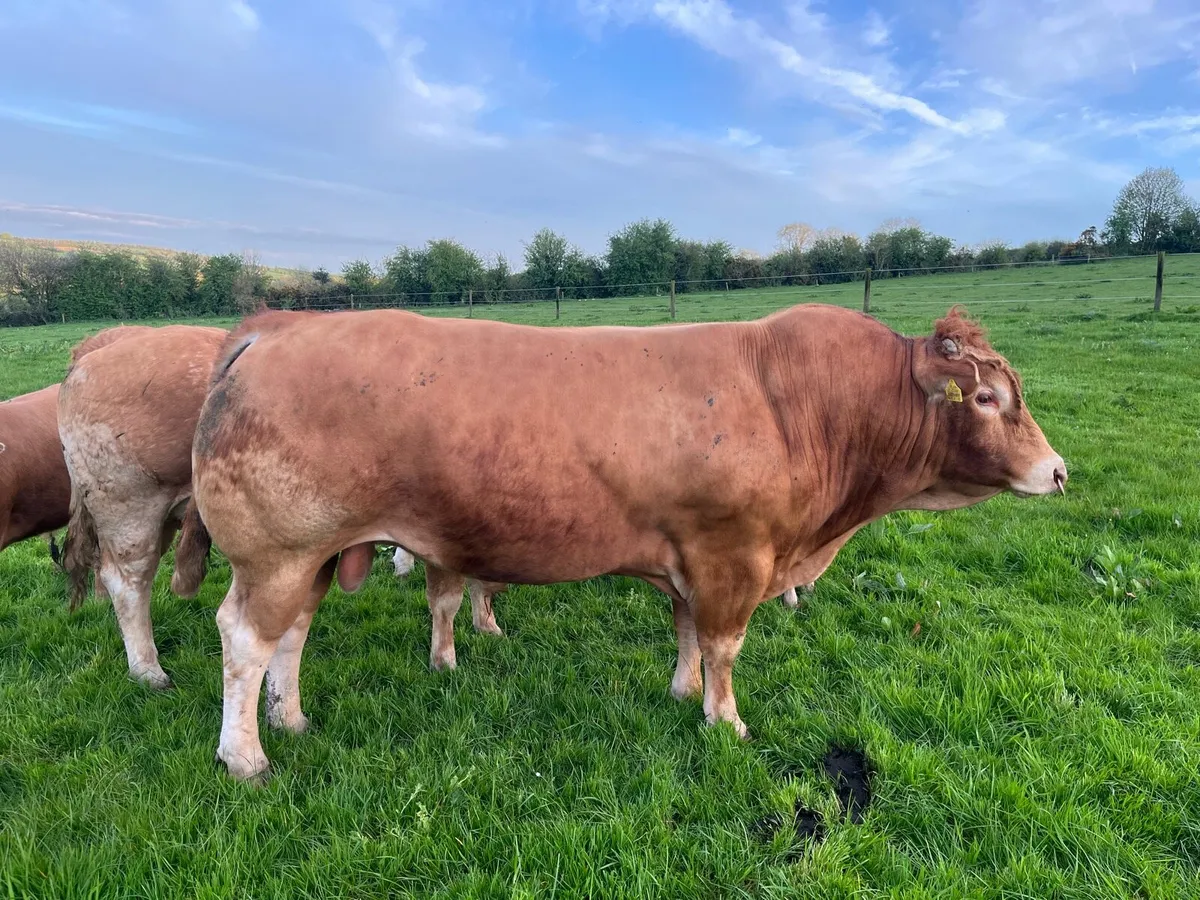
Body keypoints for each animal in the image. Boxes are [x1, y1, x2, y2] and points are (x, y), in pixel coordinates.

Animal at [183, 303, 1066, 782]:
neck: (807, 406)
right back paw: (245, 757)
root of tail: (274, 328)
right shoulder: (733, 557)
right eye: (987, 399)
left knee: (290, 636)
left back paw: (291, 720)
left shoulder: (692, 555)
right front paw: (725, 722)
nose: (1058, 471)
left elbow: (687, 633)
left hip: (315, 554)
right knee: (244, 639)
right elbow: (724, 647)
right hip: (277, 551)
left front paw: (681, 693)